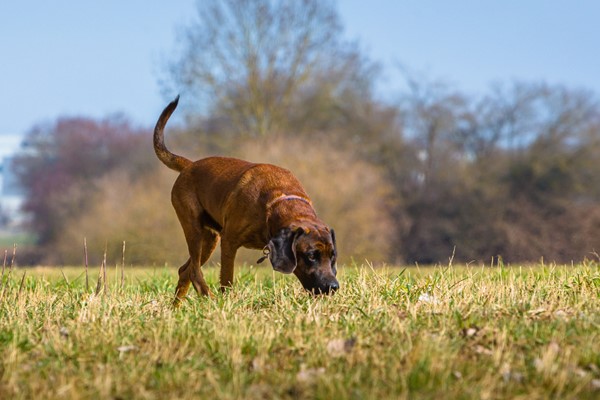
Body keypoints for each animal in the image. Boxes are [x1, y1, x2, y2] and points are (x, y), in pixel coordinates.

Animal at [152, 96, 340, 304]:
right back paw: (209, 297)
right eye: (311, 256)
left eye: (332, 256)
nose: (333, 287)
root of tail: (190, 166)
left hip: (210, 238)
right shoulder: (229, 242)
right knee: (194, 270)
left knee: (184, 270)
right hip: (194, 228)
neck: (276, 203)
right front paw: (227, 302)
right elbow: (227, 280)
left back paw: (176, 308)